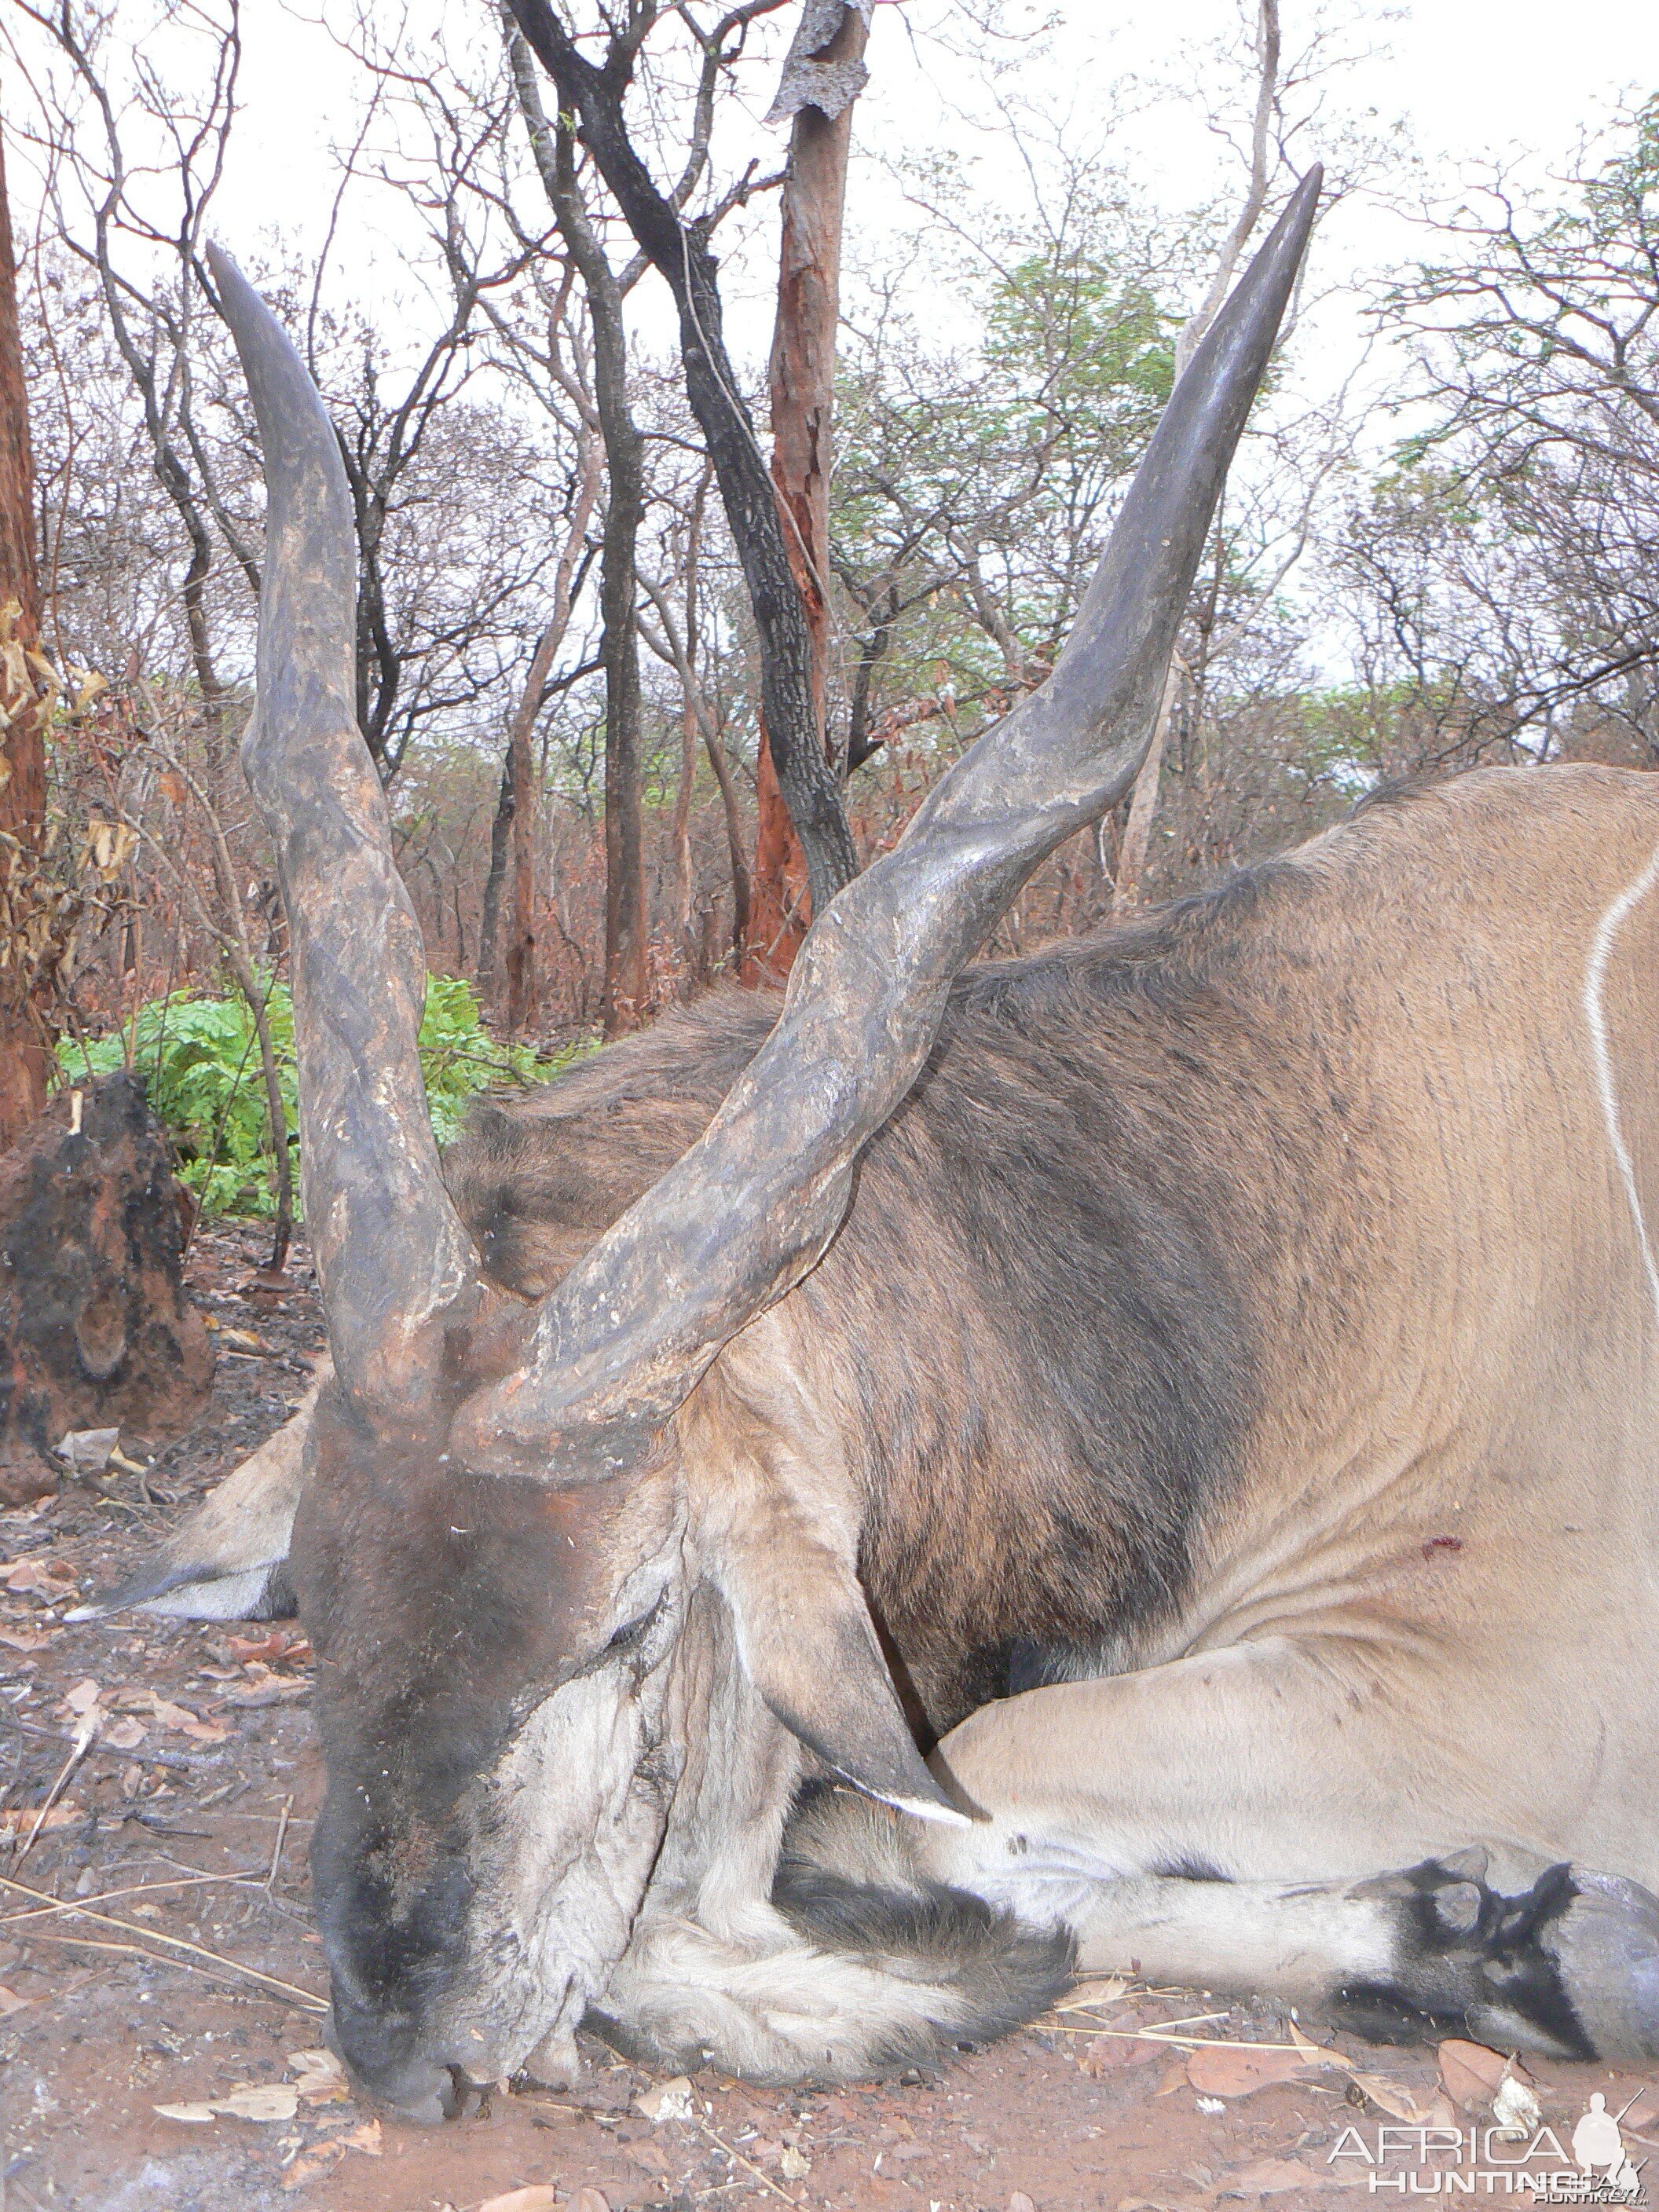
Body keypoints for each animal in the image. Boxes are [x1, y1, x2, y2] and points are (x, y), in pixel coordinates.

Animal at [81, 168, 1659, 2105]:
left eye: (628, 1622)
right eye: (315, 1592)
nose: (405, 2046)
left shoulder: (1510, 1698)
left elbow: (865, 1832)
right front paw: (1504, 1939)